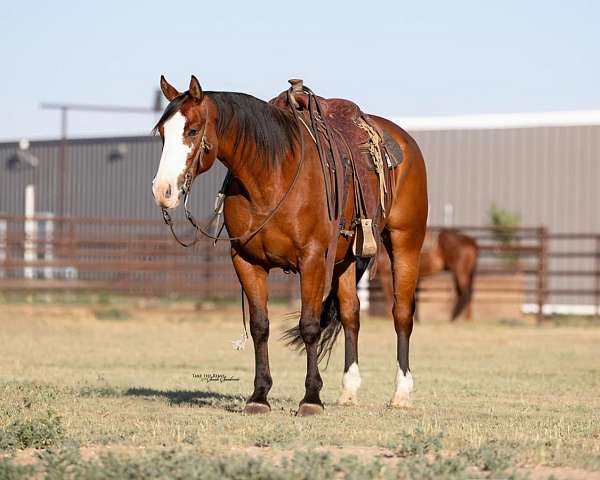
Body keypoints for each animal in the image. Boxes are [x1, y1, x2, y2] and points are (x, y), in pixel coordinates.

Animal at [152, 77, 428, 414]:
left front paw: (311, 398)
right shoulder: (247, 261)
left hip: (405, 242)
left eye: (192, 130)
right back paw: (348, 391)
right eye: (162, 133)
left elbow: (309, 325)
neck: (271, 177)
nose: (162, 190)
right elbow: (260, 326)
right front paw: (259, 396)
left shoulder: (312, 260)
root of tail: (404, 141)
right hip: (346, 260)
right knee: (351, 314)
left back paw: (401, 393)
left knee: (401, 314)